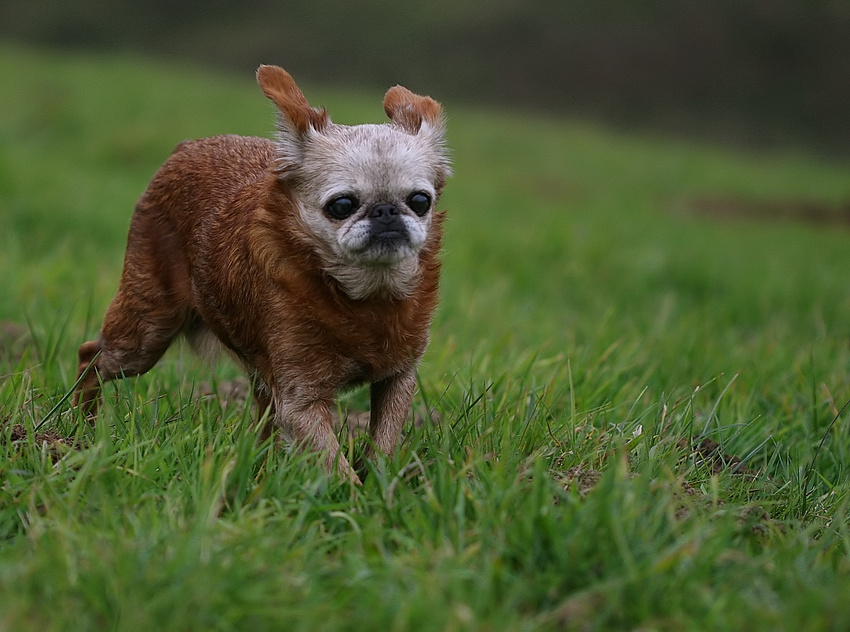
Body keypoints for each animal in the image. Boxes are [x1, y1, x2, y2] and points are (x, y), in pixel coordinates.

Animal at [73, 65, 450, 484]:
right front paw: (355, 497)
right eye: (341, 205)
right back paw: (80, 431)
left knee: (262, 414)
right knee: (90, 357)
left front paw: (379, 487)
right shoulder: (301, 403)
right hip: (145, 333)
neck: (365, 295)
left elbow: (382, 445)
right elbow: (337, 468)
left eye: (420, 201)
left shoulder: (397, 380)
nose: (386, 212)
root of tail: (186, 147)